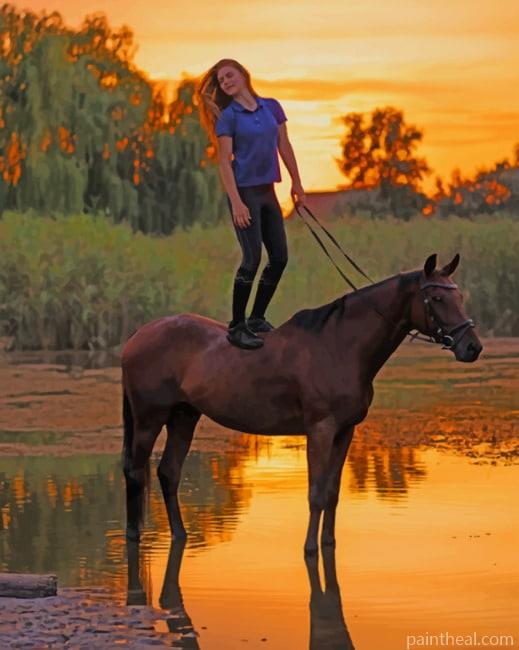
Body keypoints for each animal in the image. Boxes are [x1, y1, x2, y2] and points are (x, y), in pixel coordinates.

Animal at [121, 253, 482, 554]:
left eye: (460, 297)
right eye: (437, 298)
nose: (472, 347)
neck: (339, 345)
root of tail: (136, 336)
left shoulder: (345, 432)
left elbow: (332, 493)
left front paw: (329, 544)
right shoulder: (320, 430)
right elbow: (316, 492)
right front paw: (310, 549)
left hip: (184, 417)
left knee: (168, 473)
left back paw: (180, 536)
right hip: (149, 419)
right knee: (136, 473)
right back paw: (133, 536)